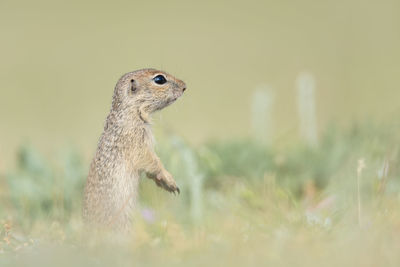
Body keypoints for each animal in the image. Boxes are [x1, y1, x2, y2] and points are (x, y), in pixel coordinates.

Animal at [83, 68, 187, 230]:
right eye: (159, 79)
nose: (184, 86)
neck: (129, 112)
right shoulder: (136, 140)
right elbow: (150, 160)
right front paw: (169, 181)